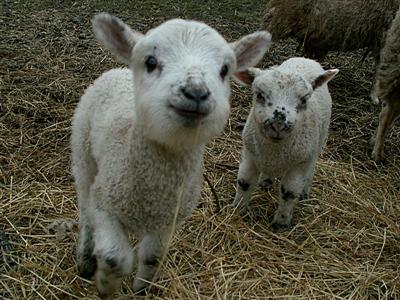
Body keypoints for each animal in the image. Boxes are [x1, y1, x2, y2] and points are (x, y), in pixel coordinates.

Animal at [71, 12, 272, 298]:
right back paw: (85, 259)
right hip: (83, 152)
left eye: (225, 70)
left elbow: (152, 258)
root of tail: (118, 70)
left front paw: (142, 289)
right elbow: (113, 258)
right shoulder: (105, 204)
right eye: (150, 61)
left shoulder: (169, 221)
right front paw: (105, 286)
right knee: (85, 206)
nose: (196, 92)